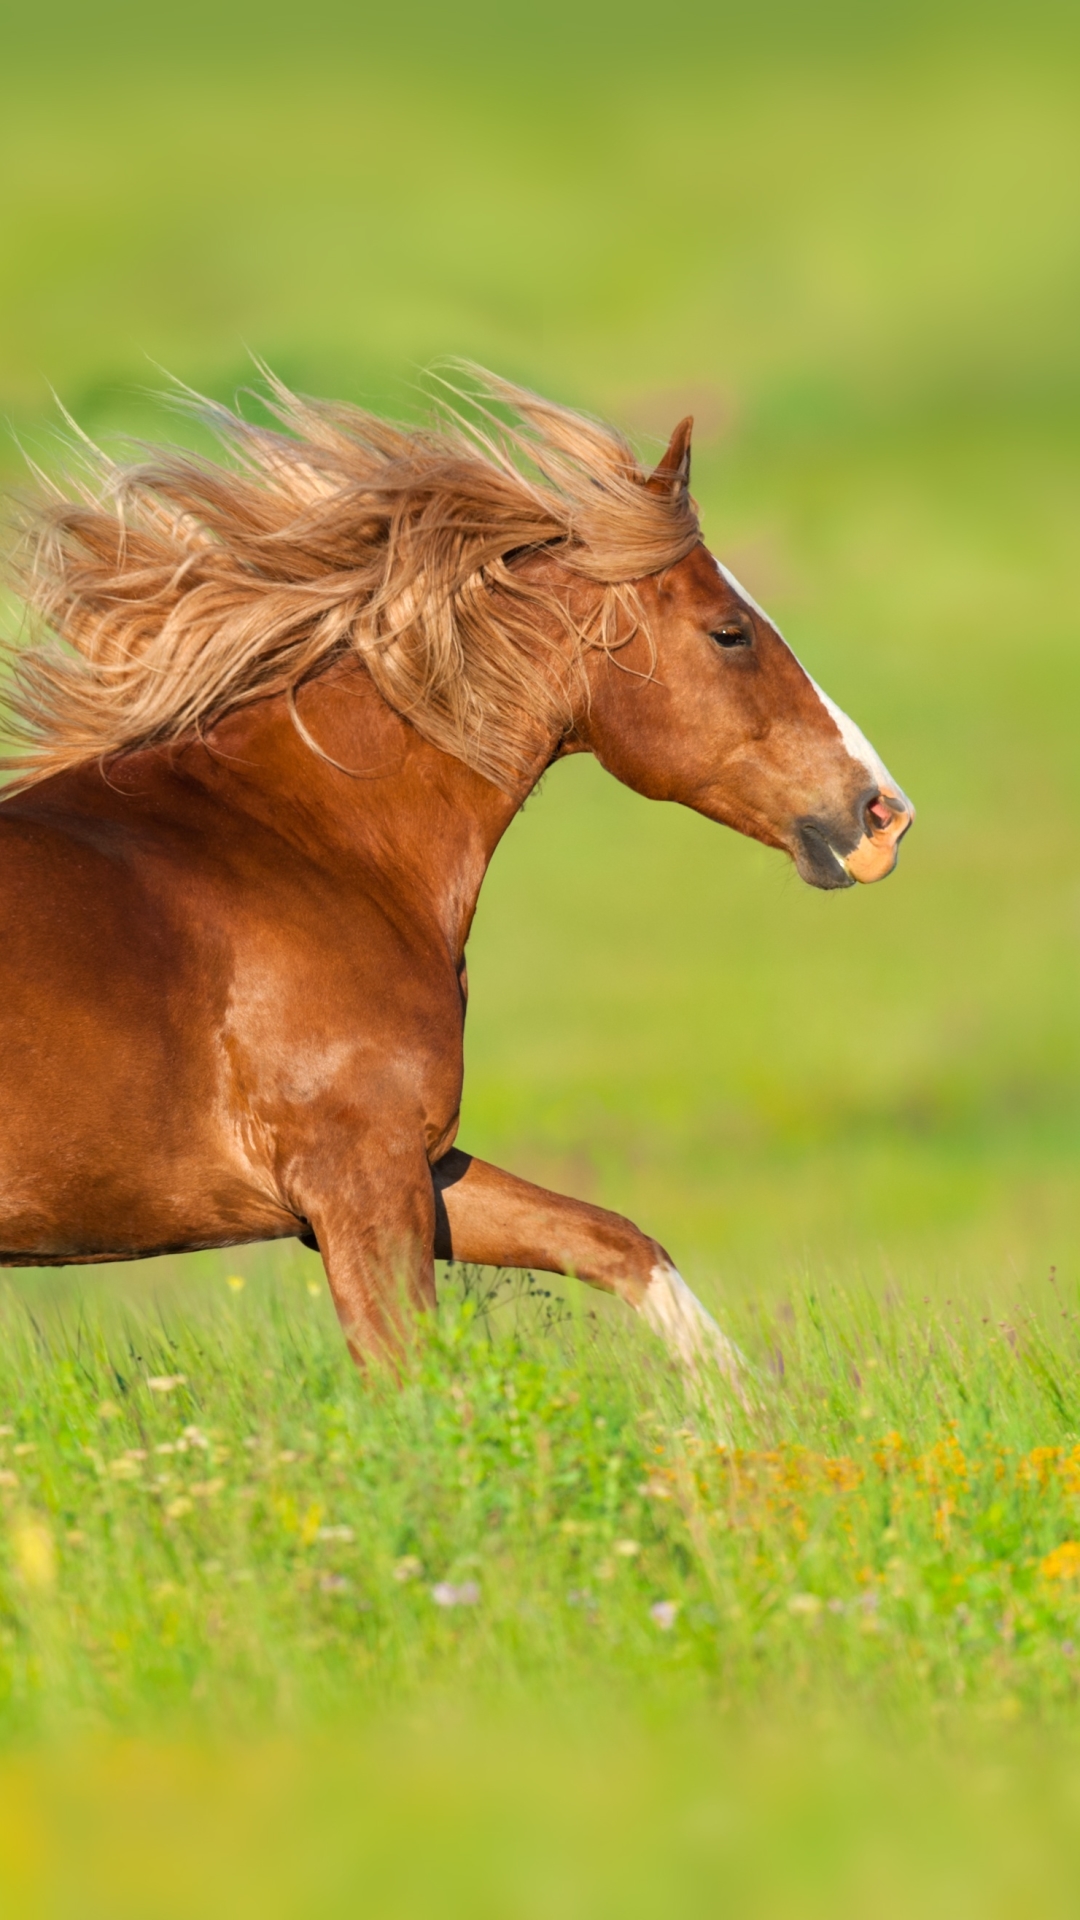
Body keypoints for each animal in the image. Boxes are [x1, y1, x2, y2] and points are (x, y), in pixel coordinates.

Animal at [0, 372, 912, 1396]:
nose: (883, 813)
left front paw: (741, 1412)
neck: (305, 842)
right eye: (731, 633)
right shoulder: (360, 1180)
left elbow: (619, 1243)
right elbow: (411, 1381)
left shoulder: (418, 1169)